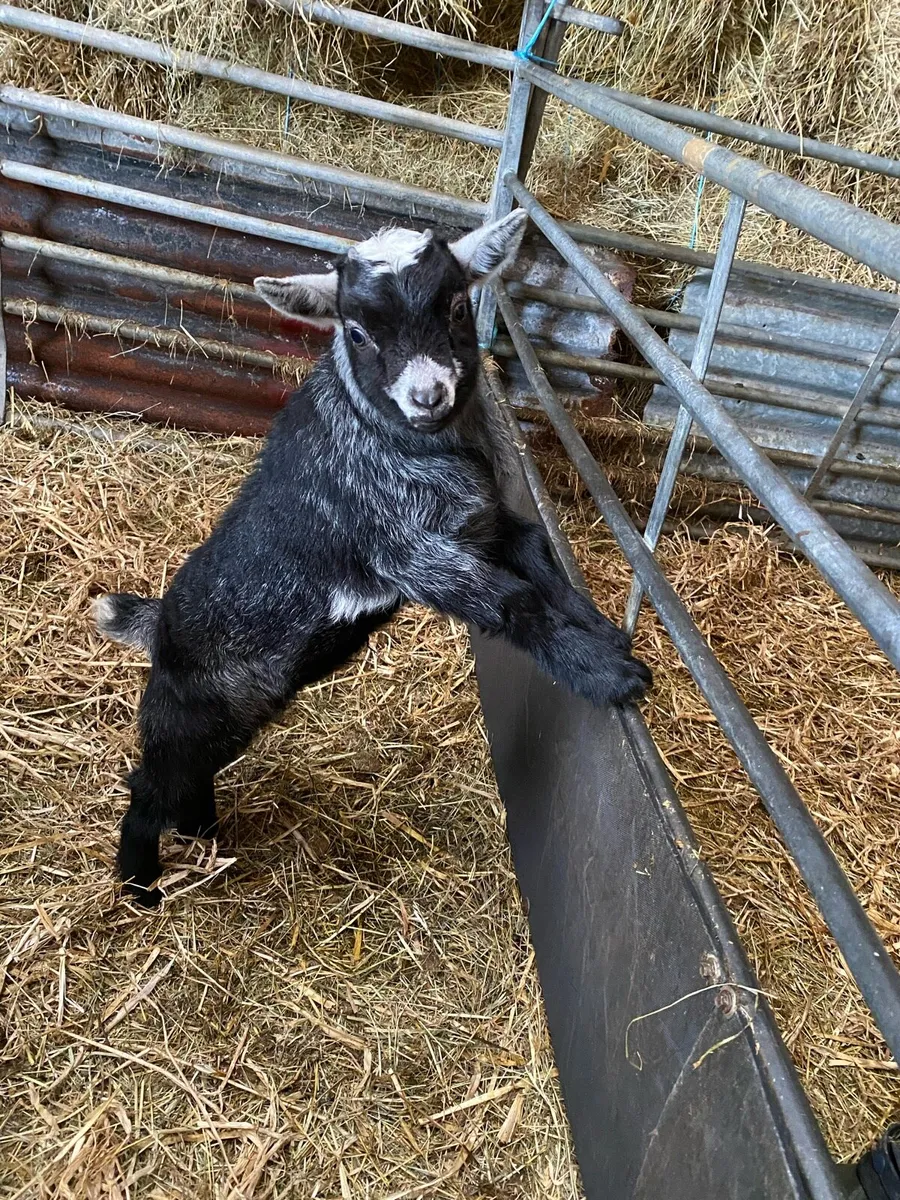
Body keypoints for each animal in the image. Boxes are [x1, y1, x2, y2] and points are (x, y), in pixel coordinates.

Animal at [93, 210, 651, 906]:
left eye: (457, 305)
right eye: (356, 332)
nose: (428, 395)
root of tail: (159, 620)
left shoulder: (489, 524)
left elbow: (541, 561)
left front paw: (603, 632)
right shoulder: (409, 555)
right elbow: (513, 600)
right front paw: (609, 674)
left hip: (237, 714)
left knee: (186, 781)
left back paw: (203, 833)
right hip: (190, 709)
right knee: (150, 784)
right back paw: (141, 885)